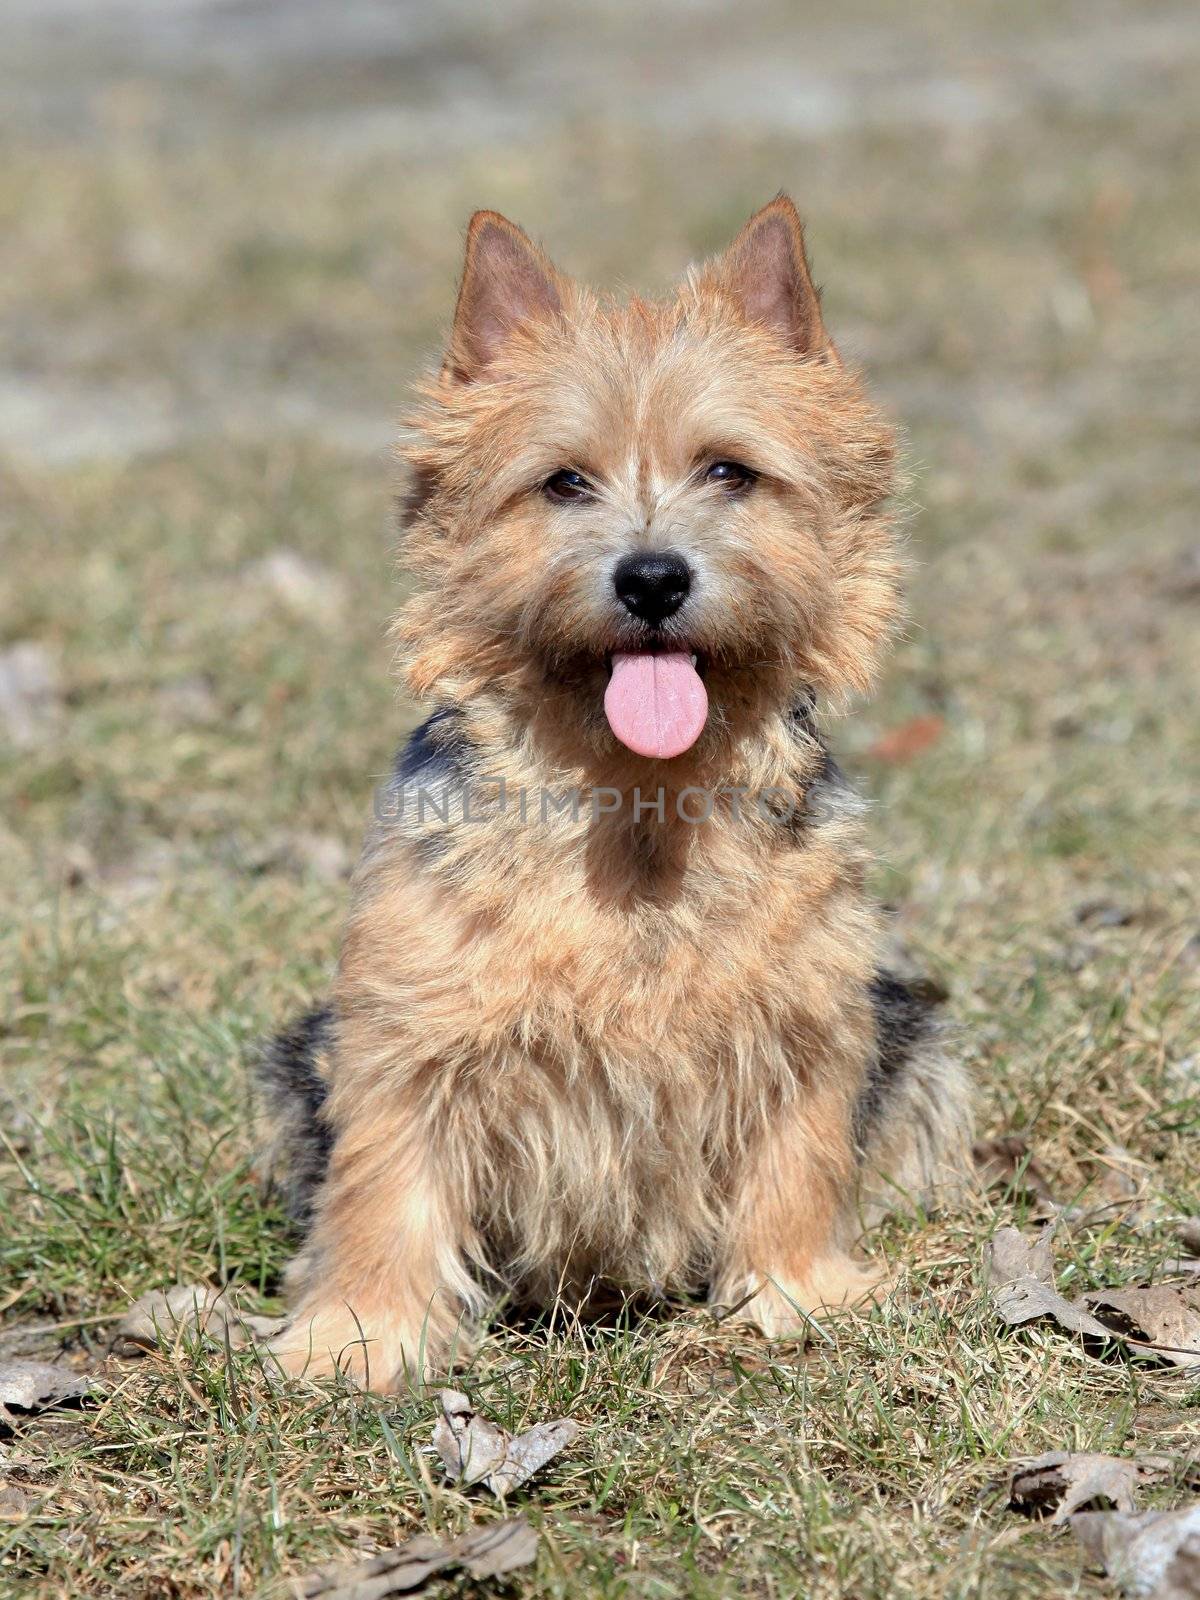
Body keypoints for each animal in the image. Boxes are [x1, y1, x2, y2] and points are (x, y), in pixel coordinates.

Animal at [259, 193, 972, 1388]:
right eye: (563, 481)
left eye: (730, 471)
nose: (652, 576)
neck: (639, 812)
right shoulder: (406, 1031)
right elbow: (385, 1186)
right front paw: (357, 1340)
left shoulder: (809, 1017)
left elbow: (800, 1157)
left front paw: (796, 1297)